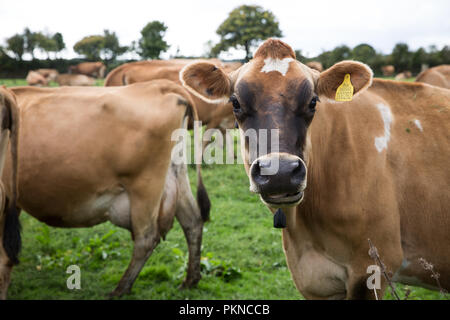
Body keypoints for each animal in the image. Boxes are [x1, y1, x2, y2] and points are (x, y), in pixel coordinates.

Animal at [0, 79, 211, 298]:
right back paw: (190, 280)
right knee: (193, 221)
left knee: (146, 238)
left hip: (145, 187)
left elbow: (4, 258)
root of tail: (162, 85)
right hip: (176, 175)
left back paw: (120, 289)